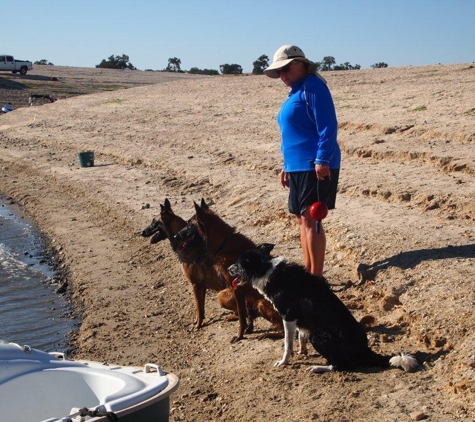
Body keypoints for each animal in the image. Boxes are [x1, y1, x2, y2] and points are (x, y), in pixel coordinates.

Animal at [143, 199, 236, 330]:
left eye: (154, 222)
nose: (141, 232)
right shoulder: (200, 287)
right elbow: (200, 308)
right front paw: (198, 322)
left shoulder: (196, 285)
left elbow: (198, 308)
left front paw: (198, 325)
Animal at [176, 199, 284, 342]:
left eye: (188, 224)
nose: (175, 236)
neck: (223, 243)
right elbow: (245, 314)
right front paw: (248, 329)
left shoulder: (236, 288)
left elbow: (242, 318)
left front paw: (240, 335)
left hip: (261, 303)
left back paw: (268, 334)